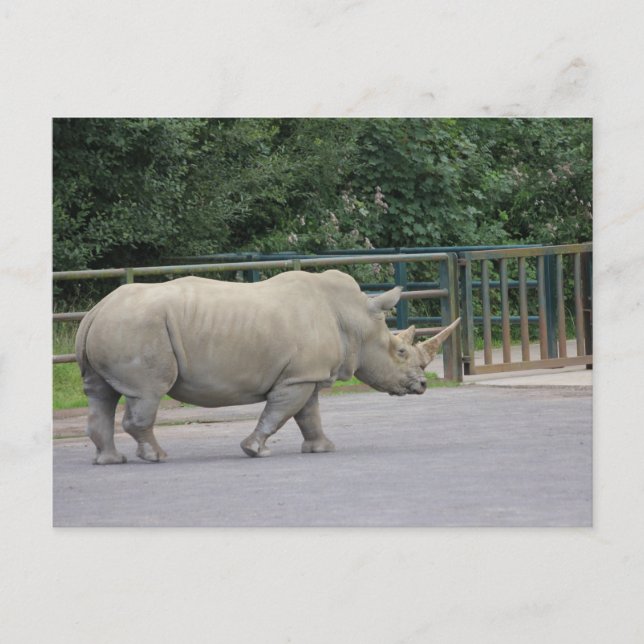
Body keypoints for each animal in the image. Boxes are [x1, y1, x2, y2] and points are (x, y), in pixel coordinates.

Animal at [75, 269, 460, 464]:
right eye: (400, 352)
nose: (423, 385)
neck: (356, 318)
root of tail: (95, 311)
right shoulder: (298, 377)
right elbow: (280, 413)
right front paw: (255, 450)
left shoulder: (306, 373)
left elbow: (308, 414)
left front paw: (322, 449)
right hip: (138, 327)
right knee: (148, 392)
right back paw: (156, 457)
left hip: (115, 324)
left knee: (100, 394)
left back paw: (111, 461)